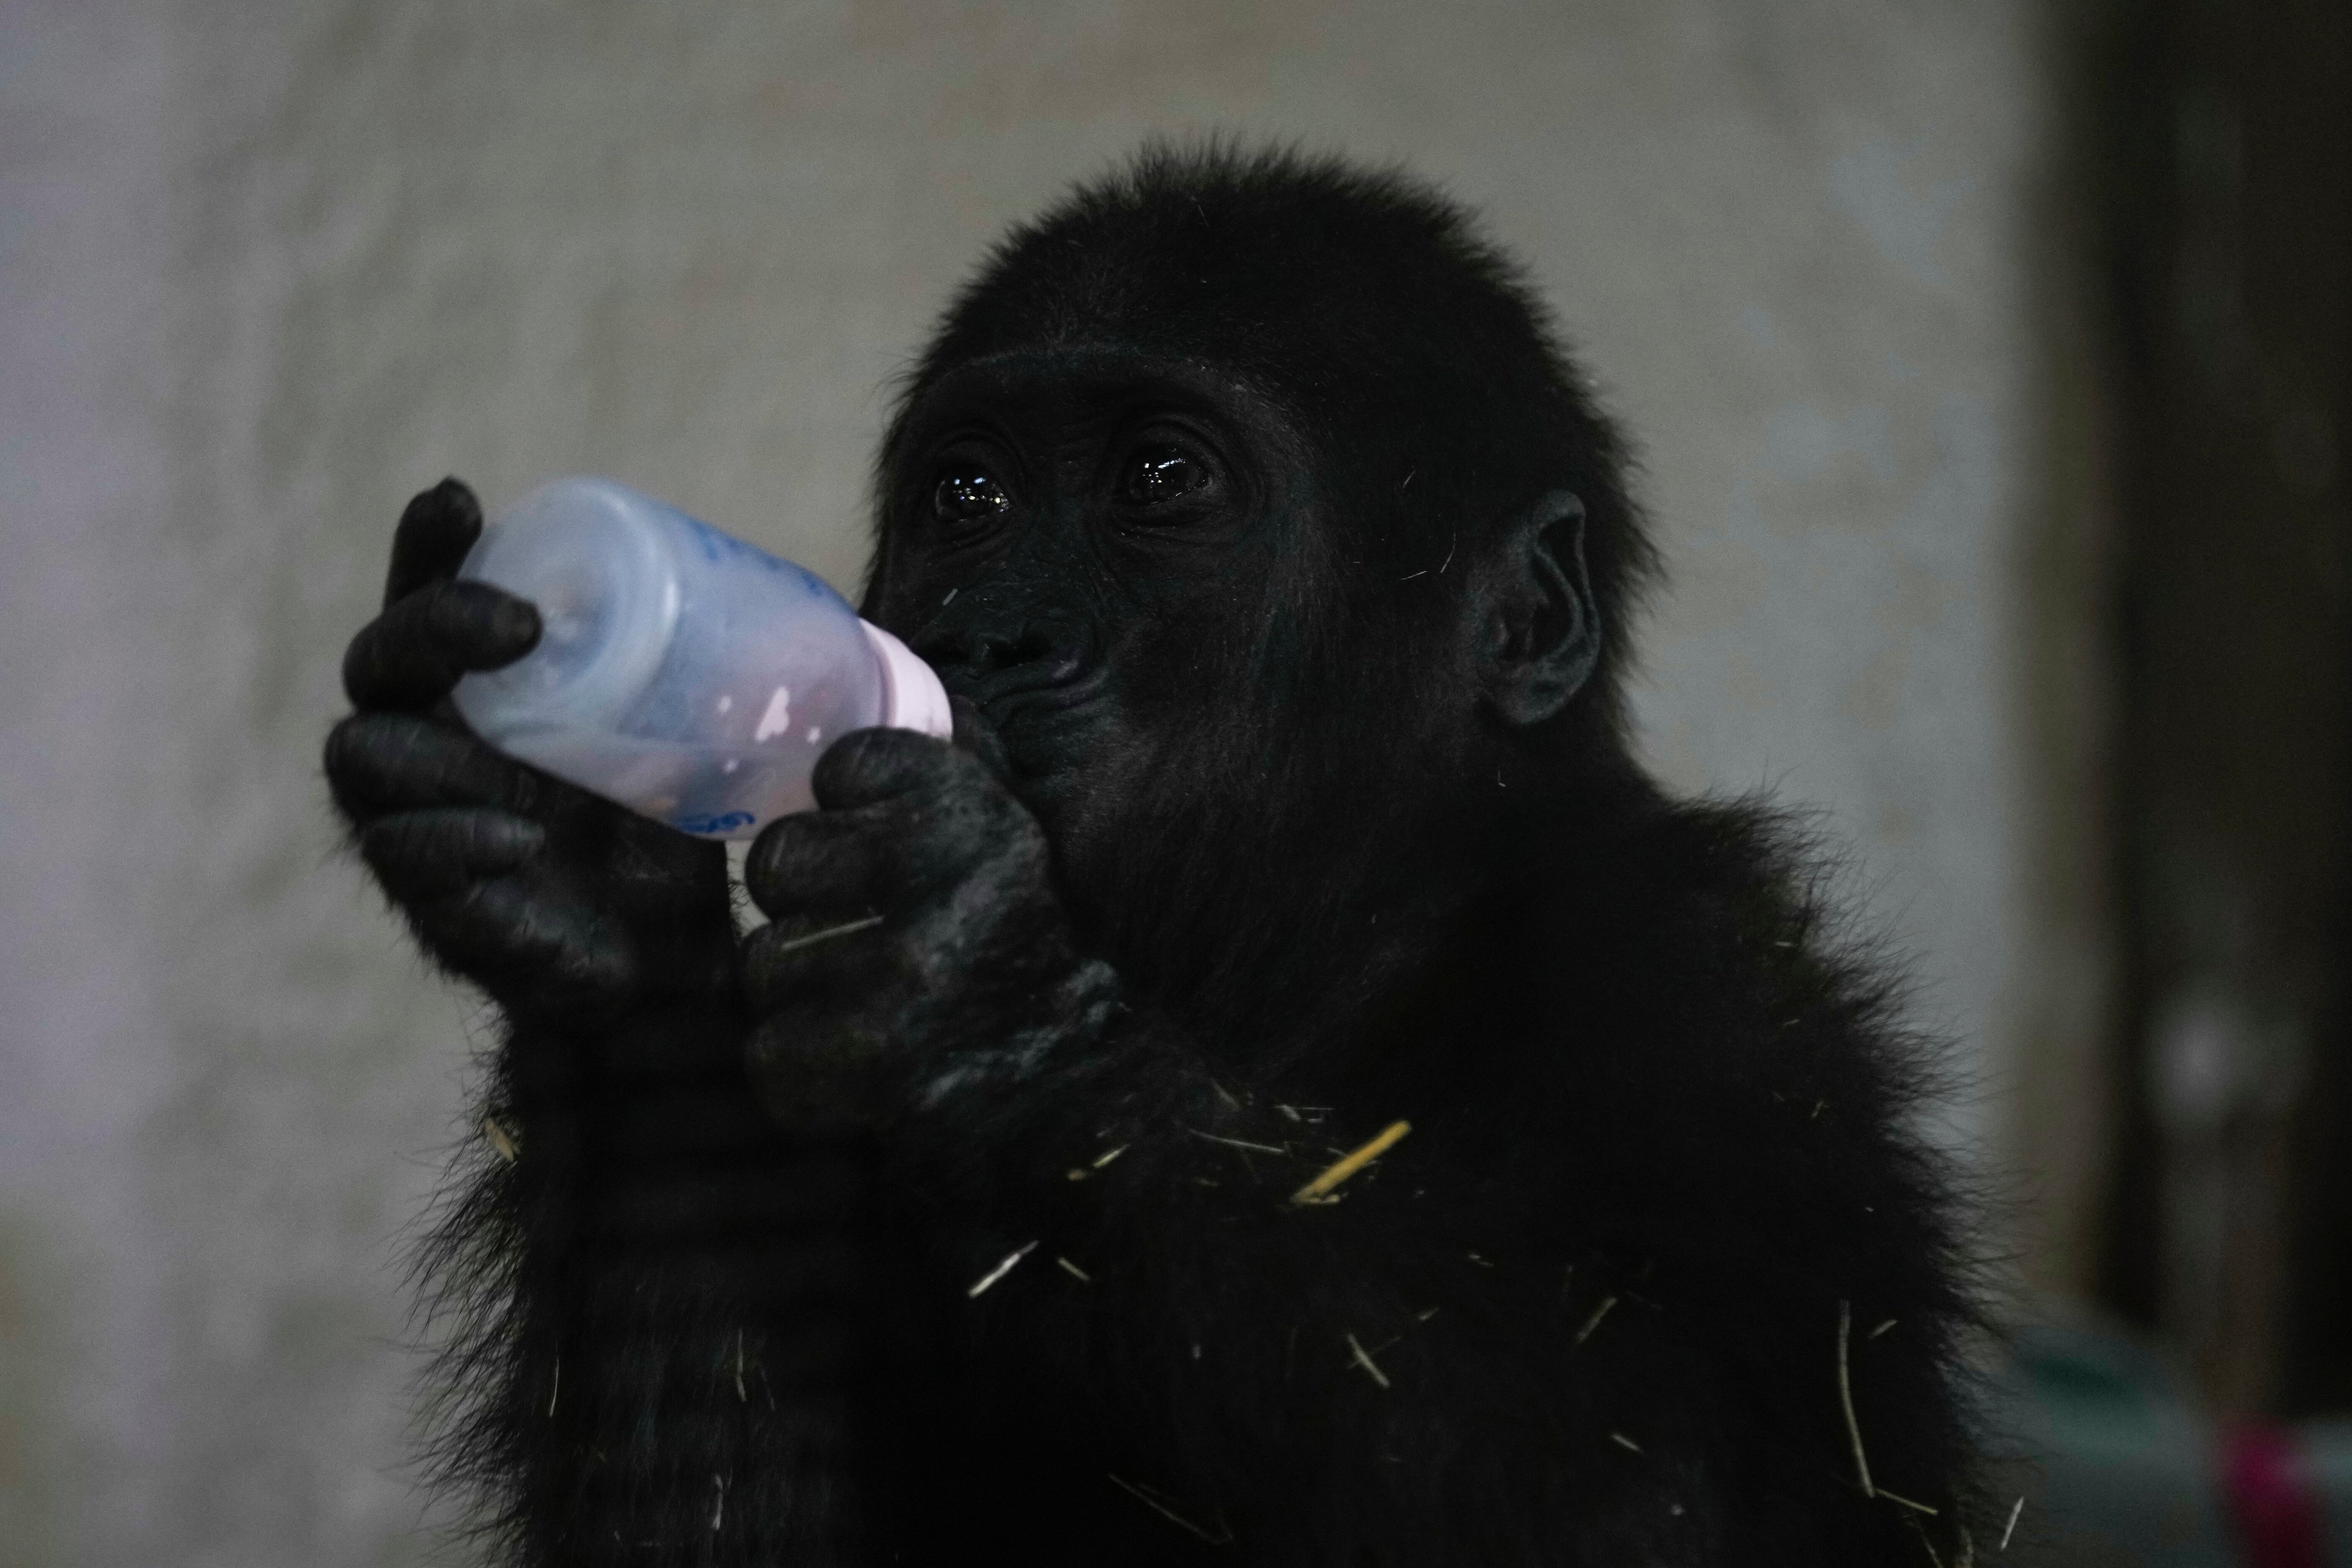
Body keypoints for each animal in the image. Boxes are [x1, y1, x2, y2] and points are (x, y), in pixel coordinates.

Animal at [327, 147, 1985, 1568]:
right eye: (970, 497)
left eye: (1160, 482)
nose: (991, 636)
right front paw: (591, 875)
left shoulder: (1714, 998)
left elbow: (1678, 1493)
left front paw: (988, 1009)